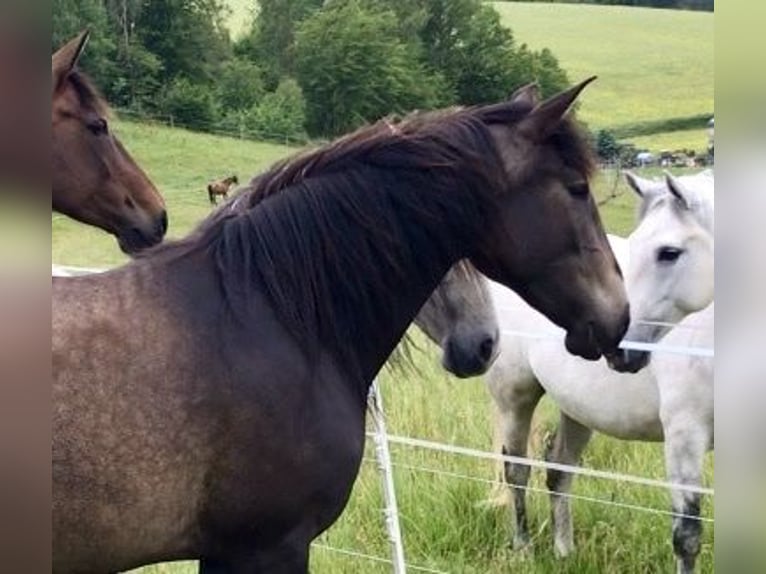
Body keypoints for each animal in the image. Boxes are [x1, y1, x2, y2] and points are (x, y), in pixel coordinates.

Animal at [486, 171, 712, 574]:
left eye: (669, 252)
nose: (615, 345)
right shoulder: (685, 436)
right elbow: (687, 537)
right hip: (515, 399)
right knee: (516, 470)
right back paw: (523, 548)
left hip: (577, 410)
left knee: (559, 470)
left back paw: (564, 551)